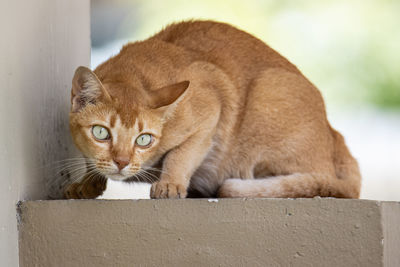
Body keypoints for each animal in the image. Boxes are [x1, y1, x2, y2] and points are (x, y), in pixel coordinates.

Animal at [64, 20, 360, 199]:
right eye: (101, 133)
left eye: (144, 139)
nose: (122, 162)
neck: (133, 74)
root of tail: (335, 134)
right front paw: (87, 183)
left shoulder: (212, 106)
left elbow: (180, 155)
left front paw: (170, 184)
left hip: (269, 90)